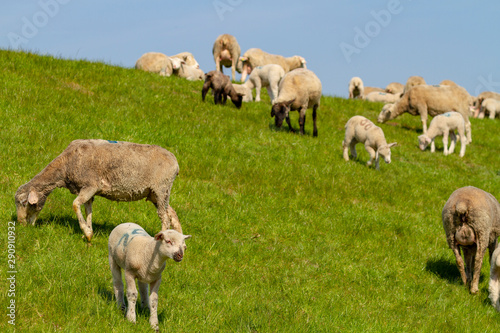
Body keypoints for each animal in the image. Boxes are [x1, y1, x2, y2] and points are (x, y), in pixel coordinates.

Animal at [13, 139, 182, 240]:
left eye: (24, 202)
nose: (21, 224)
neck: (65, 166)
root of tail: (175, 163)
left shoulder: (91, 185)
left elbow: (75, 204)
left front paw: (86, 232)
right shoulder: (88, 190)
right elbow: (88, 210)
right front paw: (89, 233)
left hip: (161, 188)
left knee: (164, 217)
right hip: (155, 193)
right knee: (171, 213)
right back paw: (179, 240)